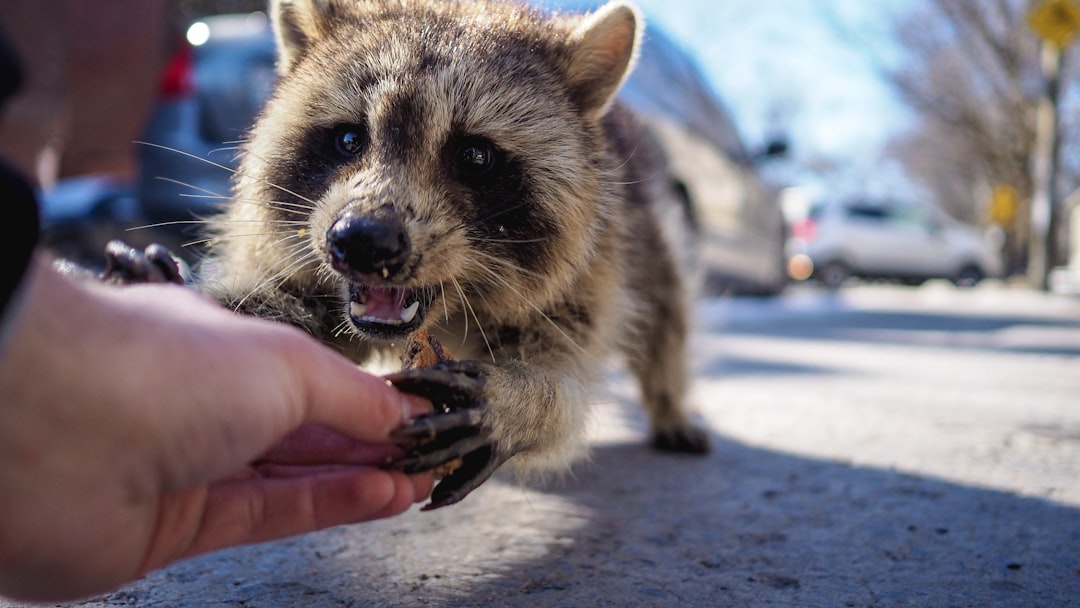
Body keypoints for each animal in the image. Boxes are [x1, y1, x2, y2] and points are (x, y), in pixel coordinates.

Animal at [196, 0, 708, 509]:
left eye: (475, 156)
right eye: (348, 139)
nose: (363, 240)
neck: (452, 307)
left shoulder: (595, 266)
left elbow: (568, 380)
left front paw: (524, 400)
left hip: (645, 230)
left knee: (667, 310)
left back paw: (669, 402)